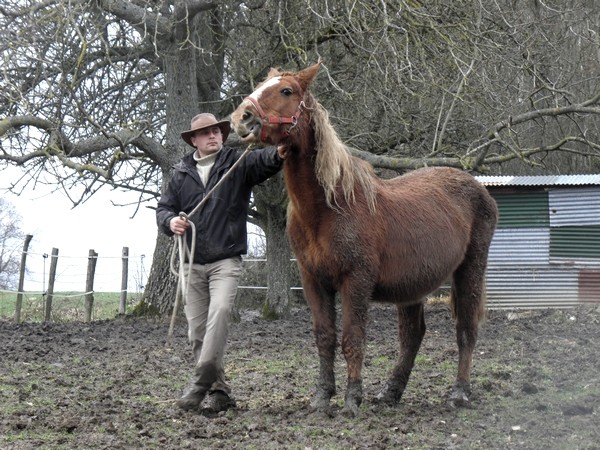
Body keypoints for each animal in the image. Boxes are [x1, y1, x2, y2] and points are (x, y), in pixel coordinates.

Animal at [232, 63, 500, 418]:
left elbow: (353, 338)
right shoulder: (312, 280)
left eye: (286, 91)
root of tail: (478, 187)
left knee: (466, 330)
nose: (241, 118)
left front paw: (351, 399)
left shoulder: (355, 280)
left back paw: (459, 392)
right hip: (411, 285)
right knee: (412, 337)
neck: (329, 205)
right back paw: (390, 393)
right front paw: (322, 397)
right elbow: (325, 337)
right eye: (262, 84)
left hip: (469, 271)